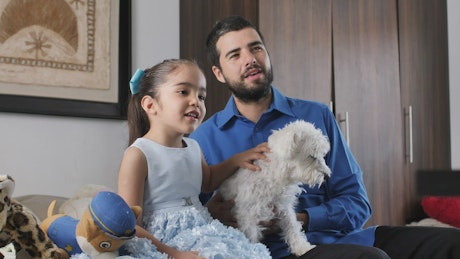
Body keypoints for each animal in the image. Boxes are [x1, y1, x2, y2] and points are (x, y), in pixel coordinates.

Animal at [219, 121, 330, 256]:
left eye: (322, 155)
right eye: (311, 156)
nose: (327, 176)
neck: (276, 177)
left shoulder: (283, 207)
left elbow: (292, 226)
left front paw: (302, 247)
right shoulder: (248, 217)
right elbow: (252, 239)